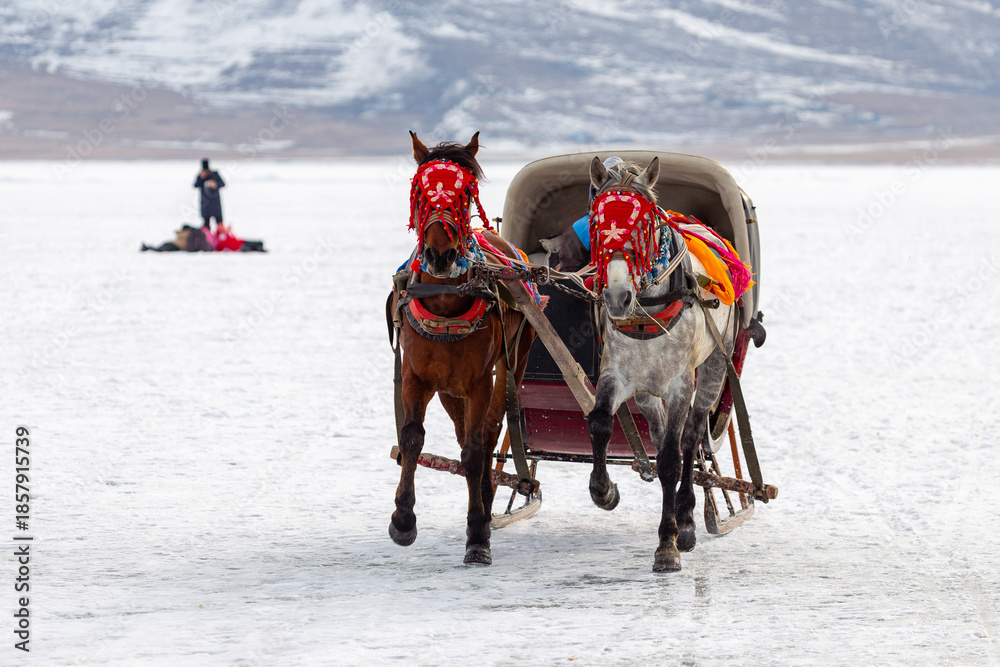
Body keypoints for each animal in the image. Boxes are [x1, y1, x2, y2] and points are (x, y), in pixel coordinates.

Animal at [388, 131, 535, 565]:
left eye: (465, 194)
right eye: (420, 191)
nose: (440, 256)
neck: (442, 301)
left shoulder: (479, 381)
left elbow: (474, 451)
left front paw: (477, 536)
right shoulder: (416, 376)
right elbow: (412, 438)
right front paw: (403, 520)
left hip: (513, 362)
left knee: (488, 435)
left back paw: (485, 506)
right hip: (448, 388)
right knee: (463, 432)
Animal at [585, 156, 741, 573]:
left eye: (643, 226)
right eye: (596, 224)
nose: (617, 297)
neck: (647, 312)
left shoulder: (681, 384)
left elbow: (673, 457)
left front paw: (668, 544)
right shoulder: (618, 375)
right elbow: (600, 422)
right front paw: (603, 491)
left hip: (714, 367)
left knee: (690, 437)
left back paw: (685, 519)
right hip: (646, 393)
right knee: (657, 435)